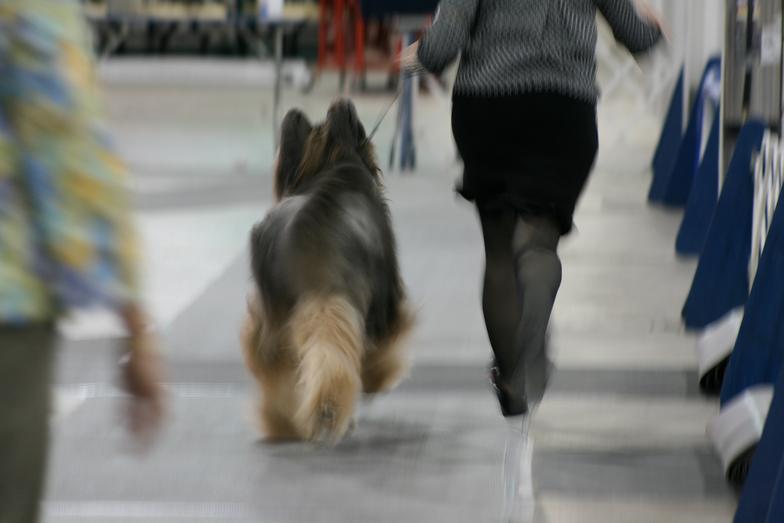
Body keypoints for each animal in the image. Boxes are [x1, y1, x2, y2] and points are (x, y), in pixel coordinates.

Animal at [241, 99, 414, 445]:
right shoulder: (386, 297)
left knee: (274, 371)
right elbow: (381, 346)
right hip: (331, 300)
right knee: (331, 358)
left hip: (272, 319)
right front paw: (377, 377)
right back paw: (328, 410)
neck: (336, 163)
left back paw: (282, 422)